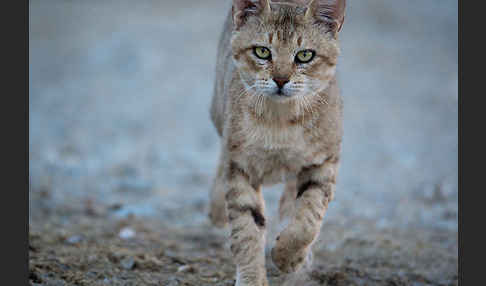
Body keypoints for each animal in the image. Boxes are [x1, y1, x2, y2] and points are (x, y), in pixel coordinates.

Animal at [209, 1, 346, 284]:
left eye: (305, 55)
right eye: (262, 51)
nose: (281, 79)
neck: (280, 120)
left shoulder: (324, 161)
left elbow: (308, 217)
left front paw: (288, 256)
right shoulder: (241, 165)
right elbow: (247, 229)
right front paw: (251, 278)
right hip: (218, 113)